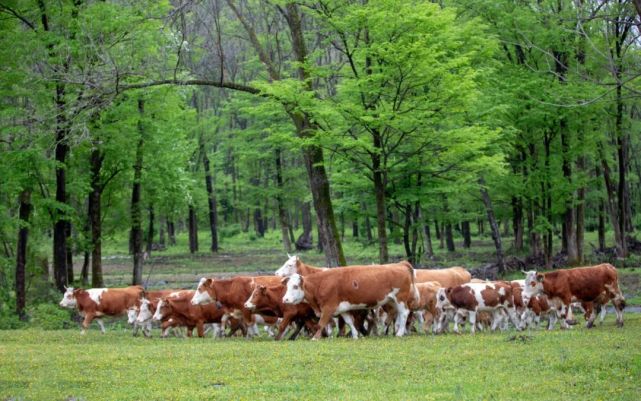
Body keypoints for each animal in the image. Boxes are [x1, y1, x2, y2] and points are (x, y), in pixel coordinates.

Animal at [280, 260, 416, 340]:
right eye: (287, 286)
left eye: (295, 286)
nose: (285, 299)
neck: (321, 283)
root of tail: (400, 264)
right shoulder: (342, 308)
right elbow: (349, 321)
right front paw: (355, 335)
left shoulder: (328, 308)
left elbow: (321, 323)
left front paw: (315, 338)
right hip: (392, 300)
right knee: (398, 315)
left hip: (400, 299)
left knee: (404, 313)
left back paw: (399, 333)